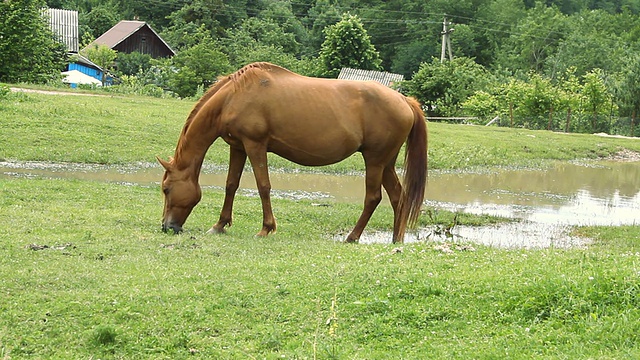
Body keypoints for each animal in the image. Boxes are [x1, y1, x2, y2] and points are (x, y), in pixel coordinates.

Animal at [158, 62, 428, 243]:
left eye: (166, 189)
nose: (167, 227)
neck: (234, 96)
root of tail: (405, 100)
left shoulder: (255, 145)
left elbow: (263, 186)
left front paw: (266, 228)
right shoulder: (238, 147)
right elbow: (231, 185)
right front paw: (220, 225)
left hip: (374, 161)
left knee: (373, 198)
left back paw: (352, 236)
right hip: (386, 163)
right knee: (398, 197)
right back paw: (396, 240)